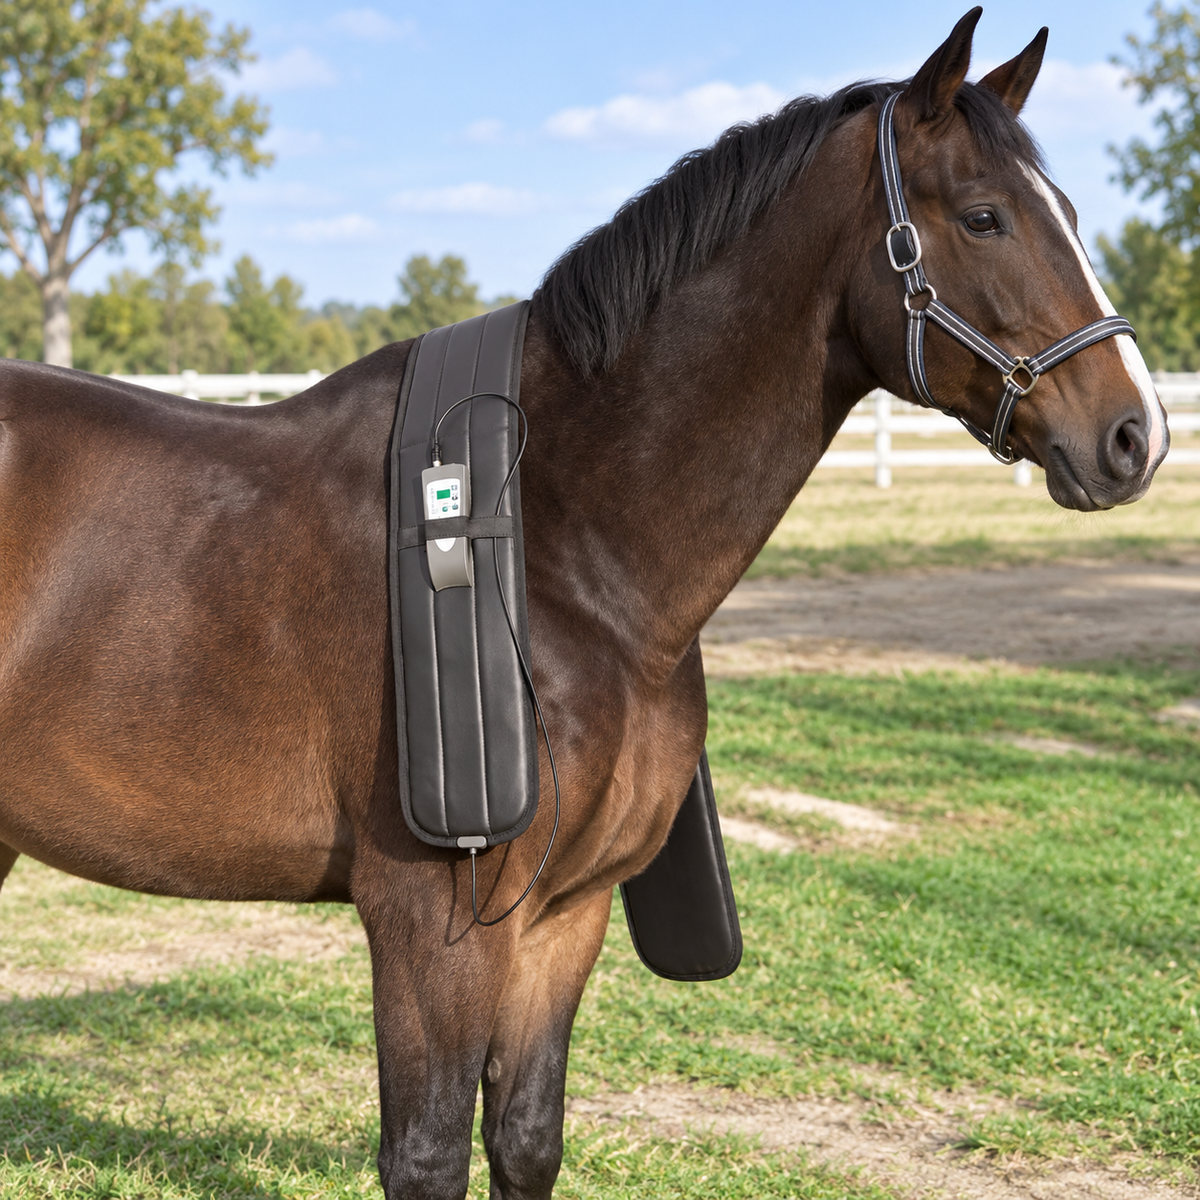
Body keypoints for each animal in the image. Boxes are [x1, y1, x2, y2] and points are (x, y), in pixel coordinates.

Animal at [0, 10, 1170, 1199]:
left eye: (1070, 216)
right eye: (983, 216)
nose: (1135, 434)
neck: (563, 545)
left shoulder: (566, 919)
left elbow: (525, 1136)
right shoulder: (435, 929)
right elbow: (428, 1152)